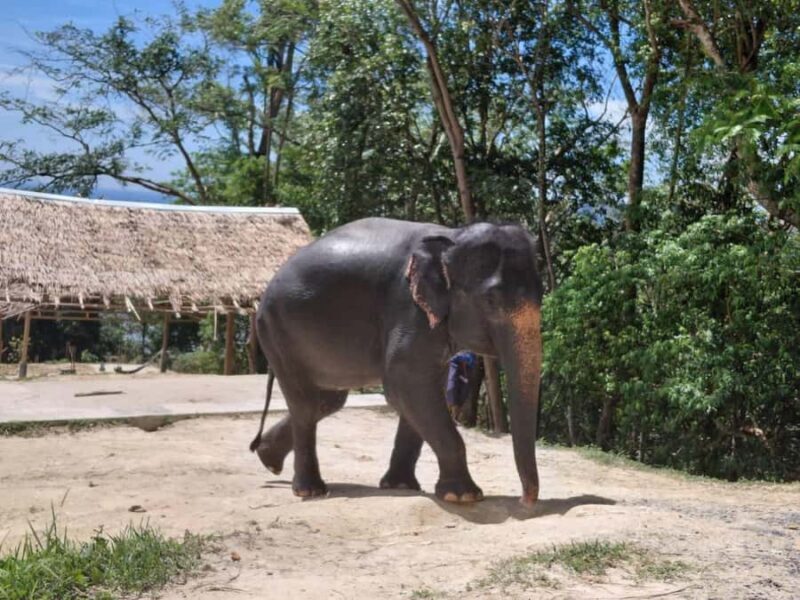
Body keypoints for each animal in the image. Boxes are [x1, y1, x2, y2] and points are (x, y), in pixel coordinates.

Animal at [250, 217, 543, 506]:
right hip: (277, 332)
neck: (452, 236)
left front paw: (401, 486)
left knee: (326, 401)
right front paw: (463, 496)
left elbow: (418, 392)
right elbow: (405, 383)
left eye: (542, 294)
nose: (525, 501)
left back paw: (267, 459)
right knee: (307, 405)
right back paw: (309, 491)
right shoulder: (407, 307)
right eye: (491, 300)